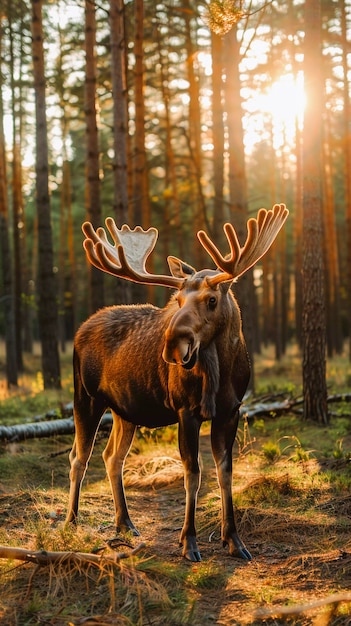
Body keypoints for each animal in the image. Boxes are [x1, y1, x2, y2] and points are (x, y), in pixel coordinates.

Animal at [66, 204, 288, 560]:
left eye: (212, 299)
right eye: (178, 300)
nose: (172, 342)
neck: (220, 376)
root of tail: (79, 329)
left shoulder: (232, 410)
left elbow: (225, 473)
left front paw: (234, 540)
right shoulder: (185, 410)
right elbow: (192, 474)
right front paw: (189, 542)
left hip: (124, 411)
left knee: (112, 457)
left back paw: (125, 523)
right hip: (85, 398)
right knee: (79, 458)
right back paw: (71, 521)